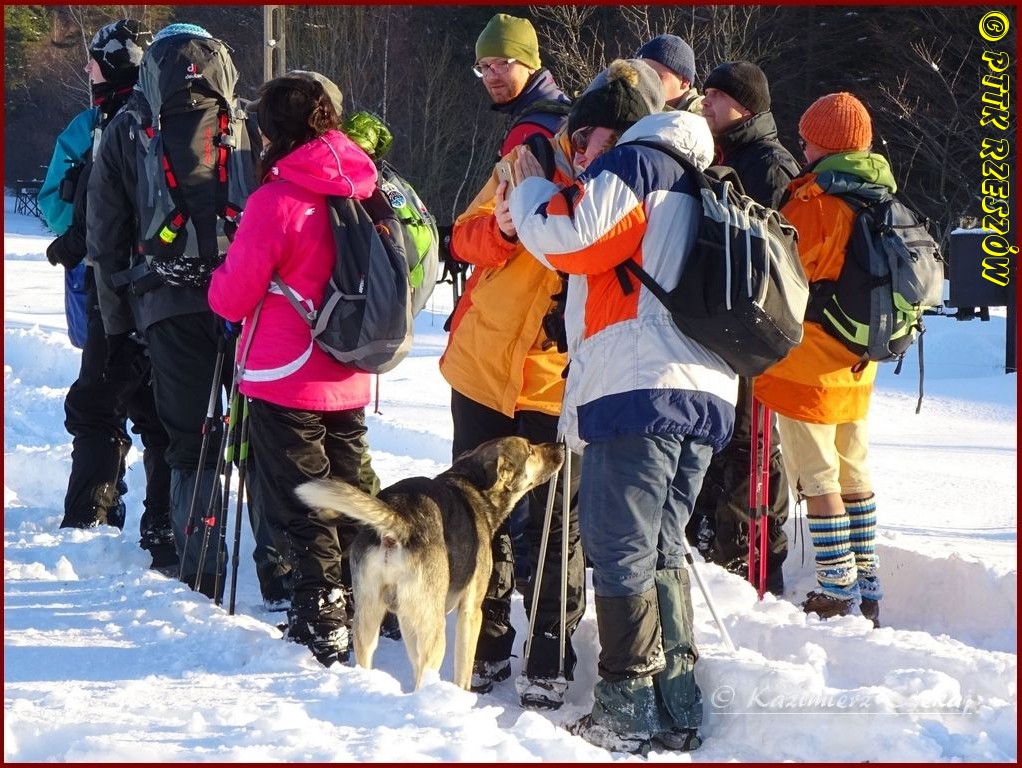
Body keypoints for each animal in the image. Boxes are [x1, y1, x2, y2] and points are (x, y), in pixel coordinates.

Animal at [294, 436, 565, 691]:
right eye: (530, 449)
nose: (561, 446)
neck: (474, 485)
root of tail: (399, 519)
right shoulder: (470, 612)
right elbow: (463, 673)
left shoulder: (406, 618)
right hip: (433, 628)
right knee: (426, 674)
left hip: (368, 617)